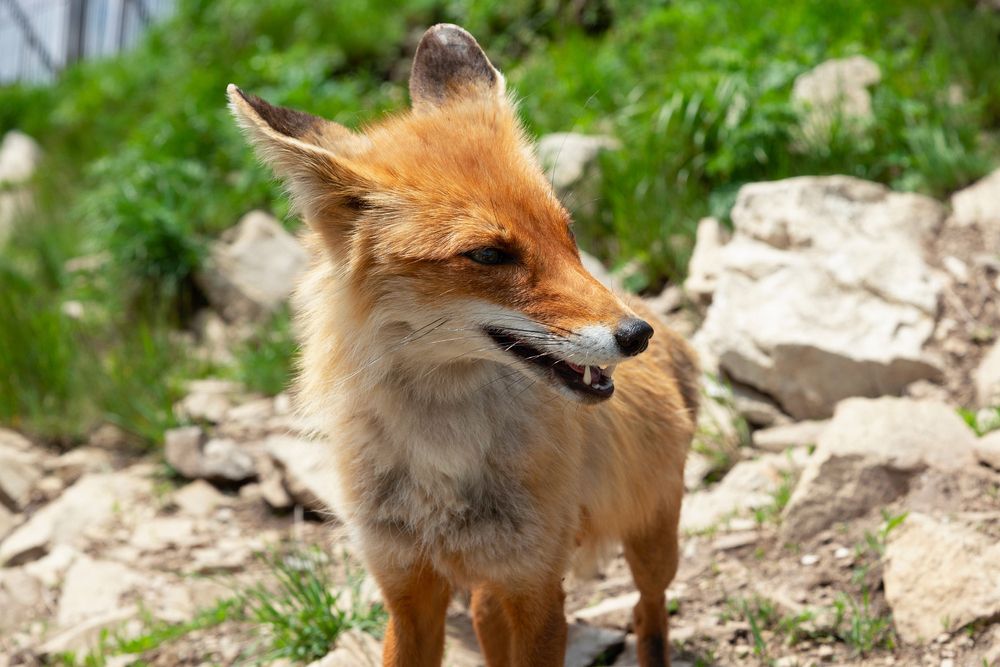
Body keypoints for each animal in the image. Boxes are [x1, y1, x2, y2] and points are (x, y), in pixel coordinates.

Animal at [227, 23, 698, 667]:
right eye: (489, 254)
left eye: (567, 233)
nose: (636, 335)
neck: (441, 457)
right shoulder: (407, 590)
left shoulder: (537, 588)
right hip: (485, 591)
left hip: (651, 545)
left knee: (649, 608)